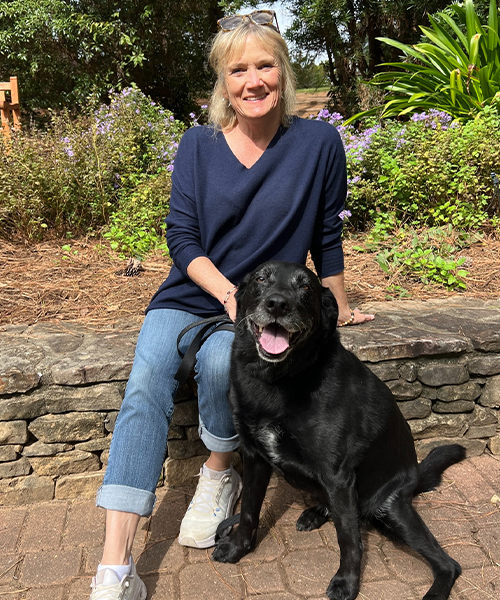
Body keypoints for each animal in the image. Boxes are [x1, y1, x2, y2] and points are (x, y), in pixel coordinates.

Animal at [213, 262, 466, 600]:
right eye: (261, 278)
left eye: (305, 287)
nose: (277, 304)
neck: (278, 379)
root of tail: (414, 476)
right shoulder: (255, 457)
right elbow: (249, 511)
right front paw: (238, 548)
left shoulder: (337, 475)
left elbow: (348, 538)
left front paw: (347, 582)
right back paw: (316, 512)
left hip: (390, 508)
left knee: (448, 564)